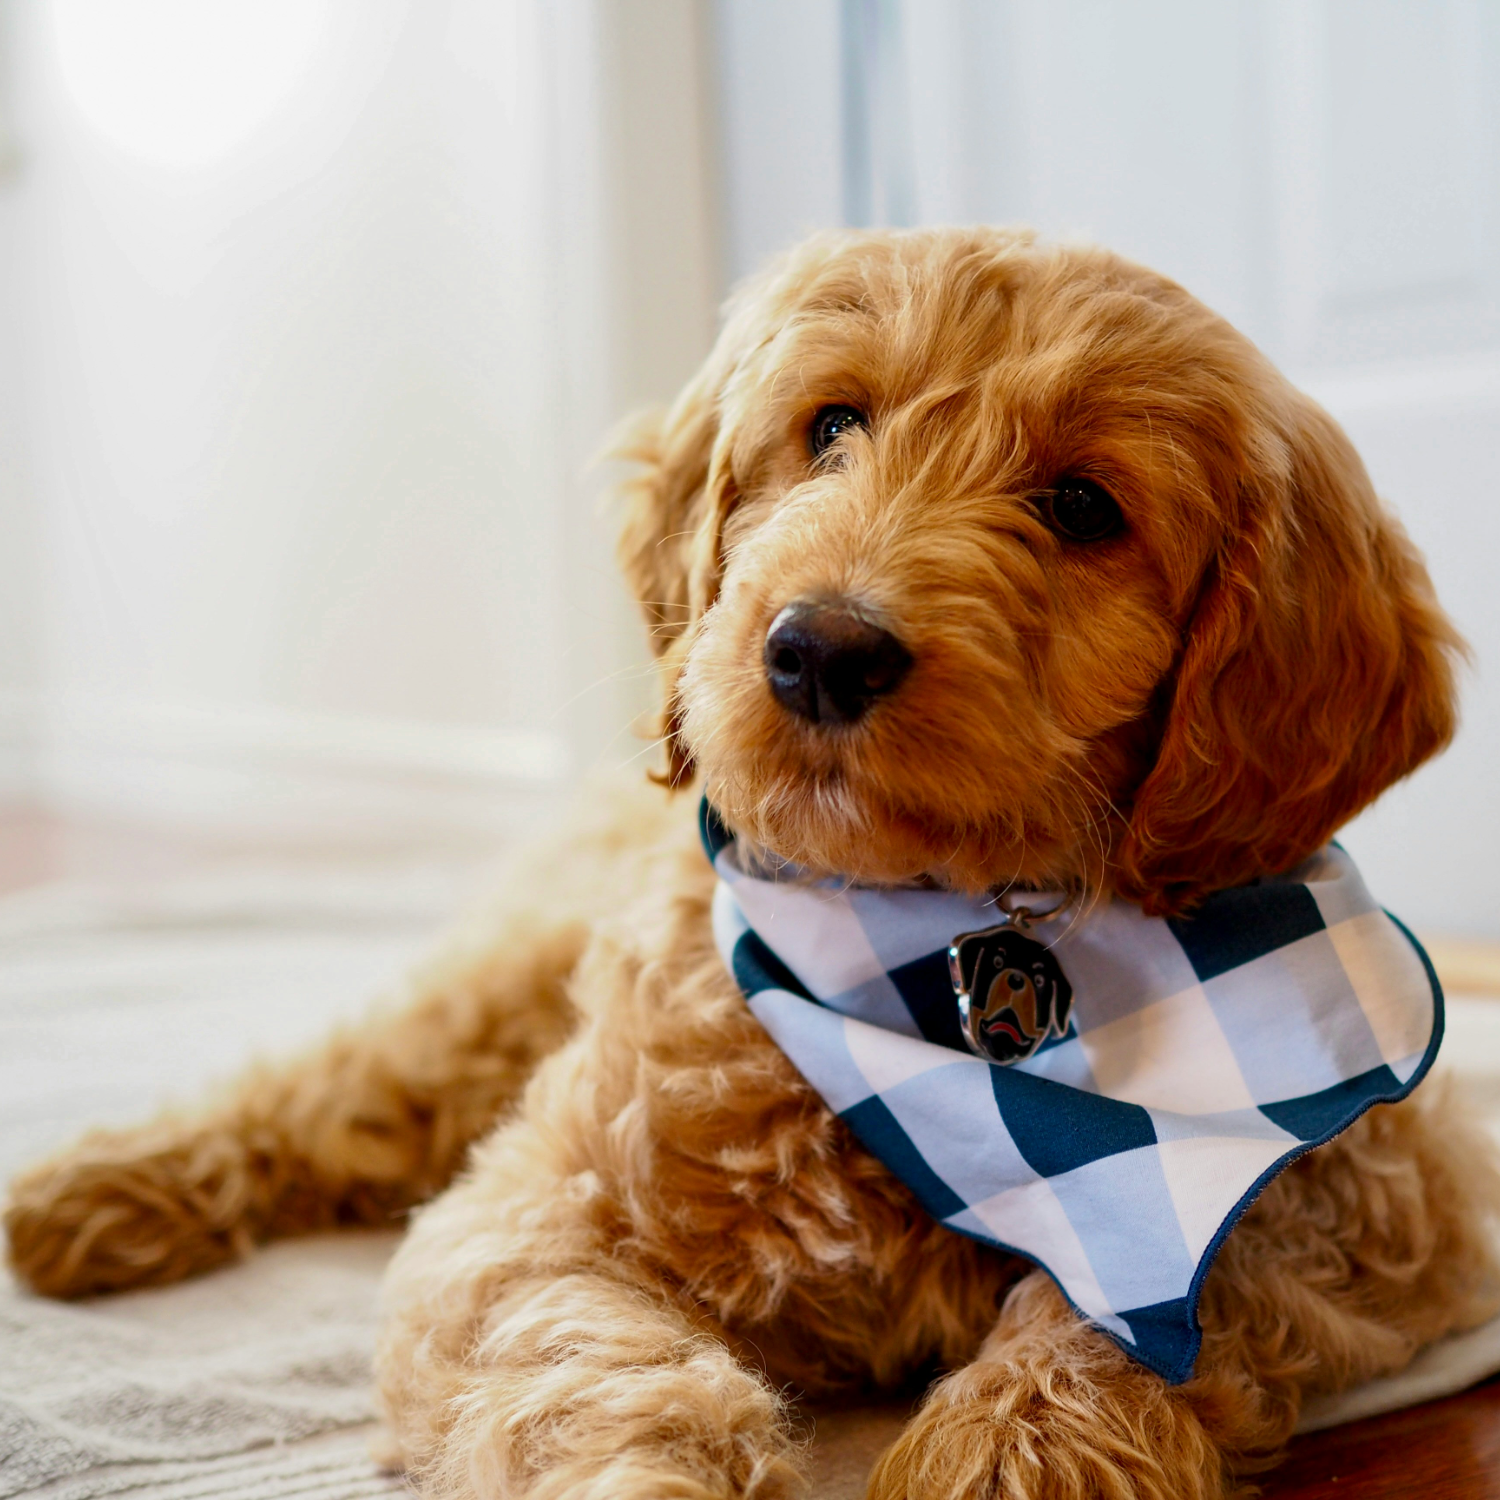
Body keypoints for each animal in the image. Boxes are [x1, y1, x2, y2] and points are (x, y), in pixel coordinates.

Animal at [2, 225, 1500, 1500]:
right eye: (831, 425)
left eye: (1083, 506)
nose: (820, 648)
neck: (933, 954)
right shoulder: (537, 1211)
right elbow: (587, 1361)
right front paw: (654, 1472)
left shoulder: (1375, 1193)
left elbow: (1177, 1284)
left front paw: (1014, 1451)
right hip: (494, 988)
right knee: (325, 1092)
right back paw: (101, 1191)